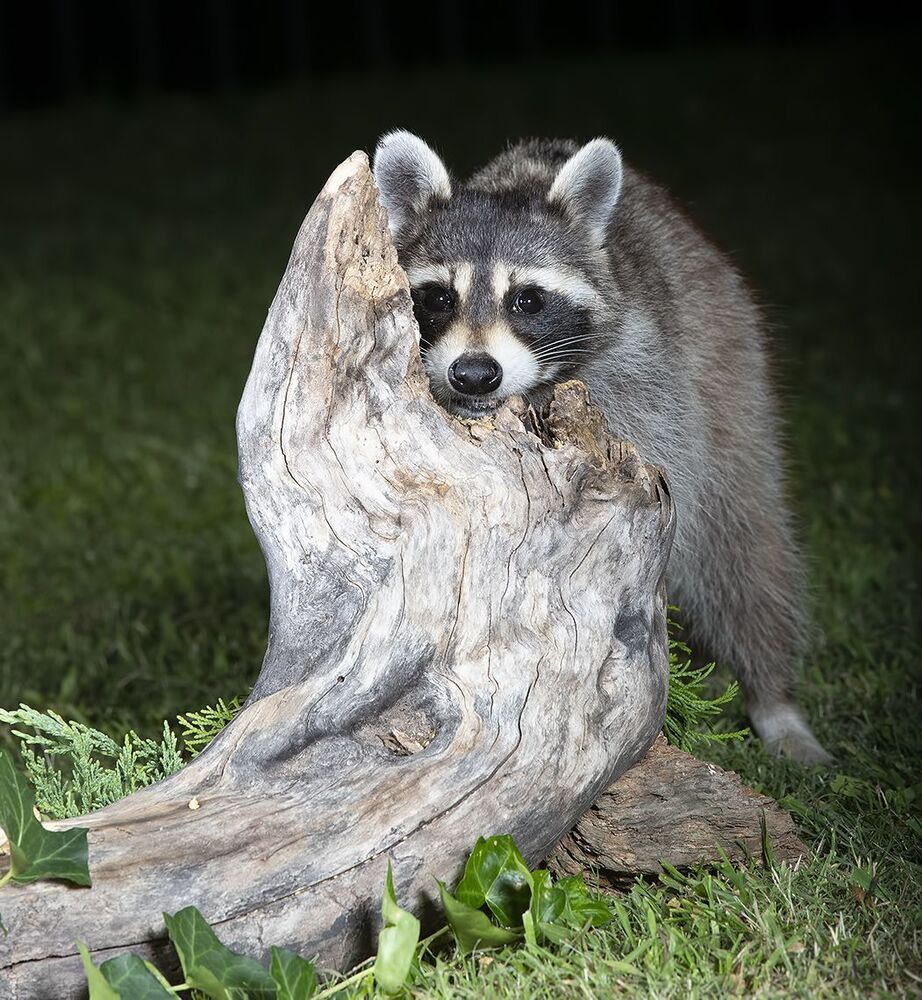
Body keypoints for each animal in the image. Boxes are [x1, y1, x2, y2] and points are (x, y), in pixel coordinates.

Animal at [372, 130, 829, 764]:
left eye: (528, 300)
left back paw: (772, 695)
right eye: (438, 298)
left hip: (727, 354)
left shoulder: (643, 370)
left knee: (743, 540)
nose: (474, 375)